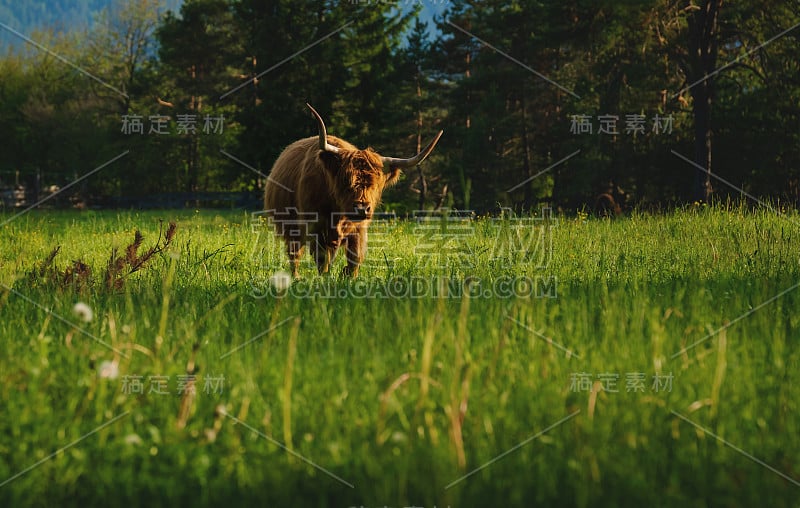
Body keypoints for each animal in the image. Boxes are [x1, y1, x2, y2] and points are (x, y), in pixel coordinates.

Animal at [264, 104, 444, 278]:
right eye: (345, 180)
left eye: (375, 184)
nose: (362, 209)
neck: (337, 213)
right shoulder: (315, 226)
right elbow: (321, 259)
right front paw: (324, 280)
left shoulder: (359, 230)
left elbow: (354, 259)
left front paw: (348, 278)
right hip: (289, 227)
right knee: (294, 254)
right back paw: (296, 278)